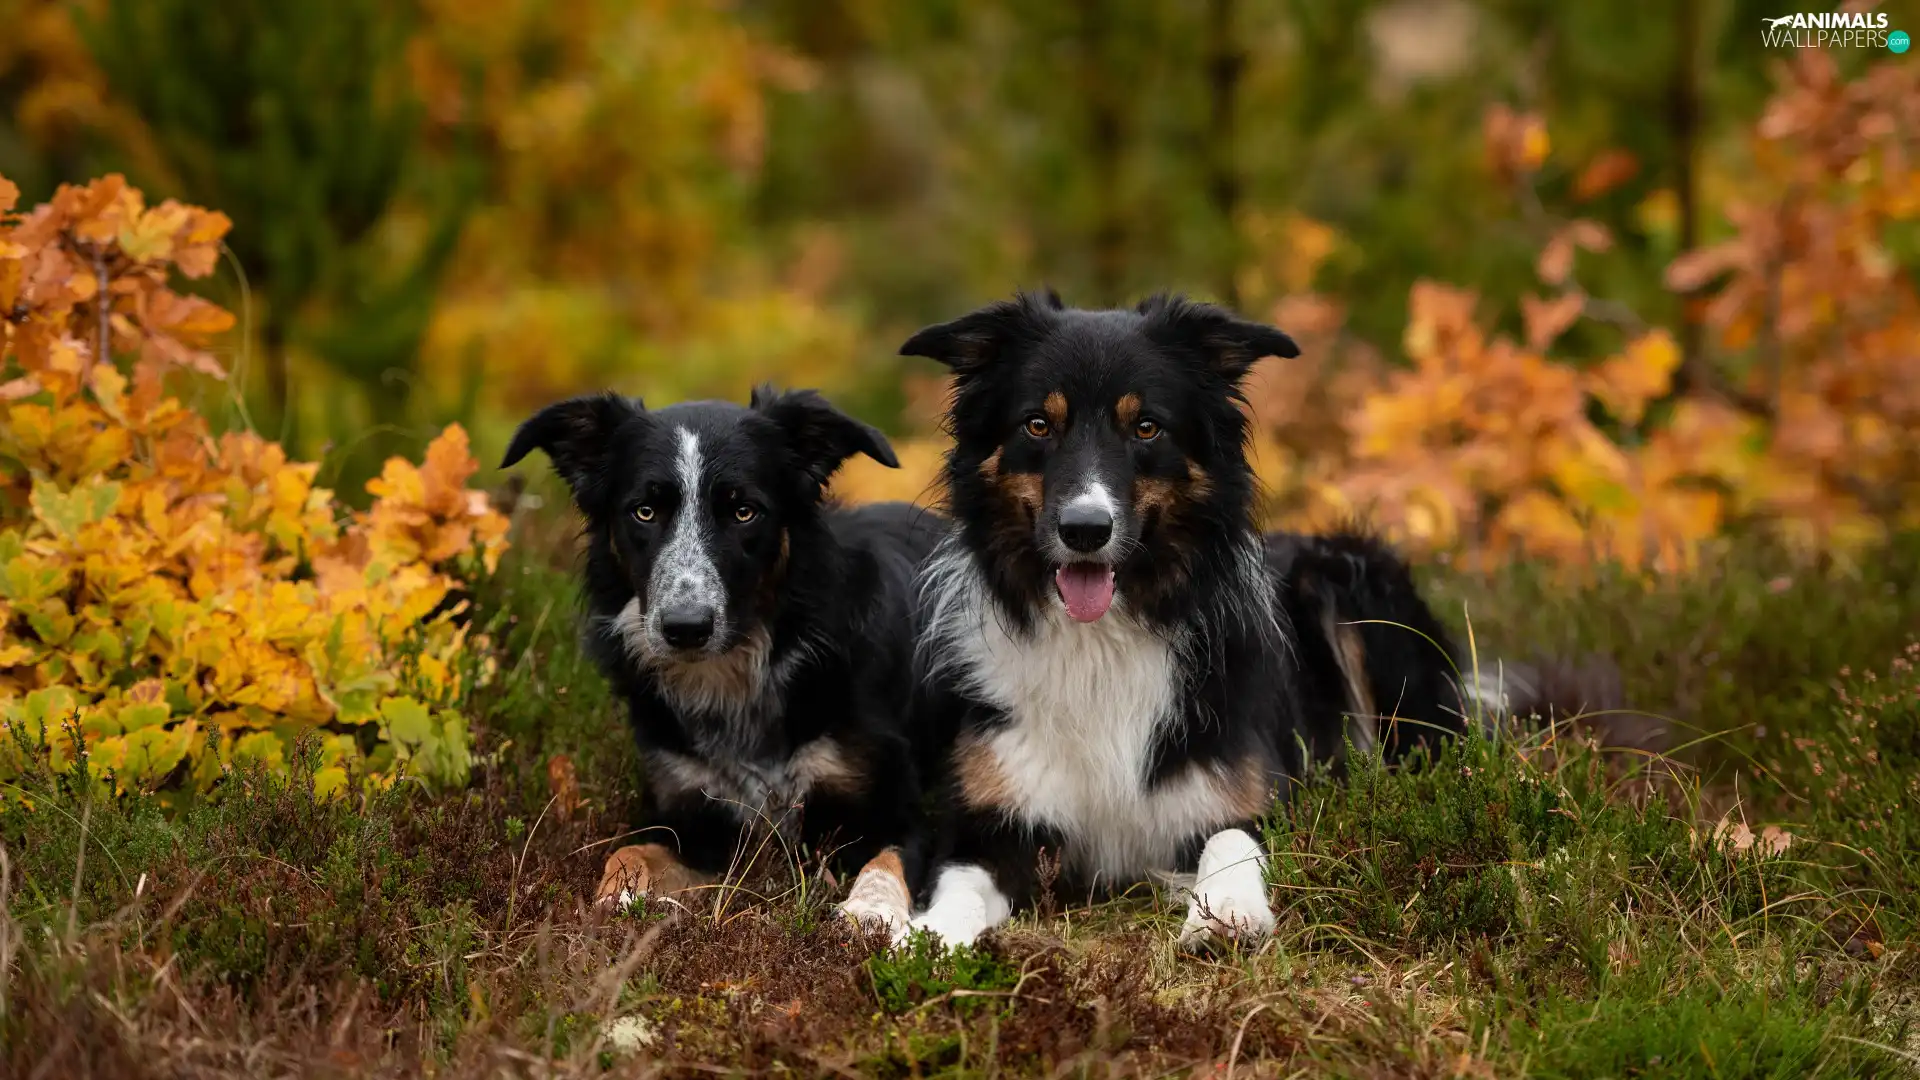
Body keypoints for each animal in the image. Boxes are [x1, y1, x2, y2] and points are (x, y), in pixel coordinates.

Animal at [499, 382, 940, 930]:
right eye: (644, 511)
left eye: (743, 511)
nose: (685, 629)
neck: (736, 674)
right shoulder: (690, 814)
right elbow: (628, 852)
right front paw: (619, 903)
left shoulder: (898, 810)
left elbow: (885, 861)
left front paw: (868, 917)